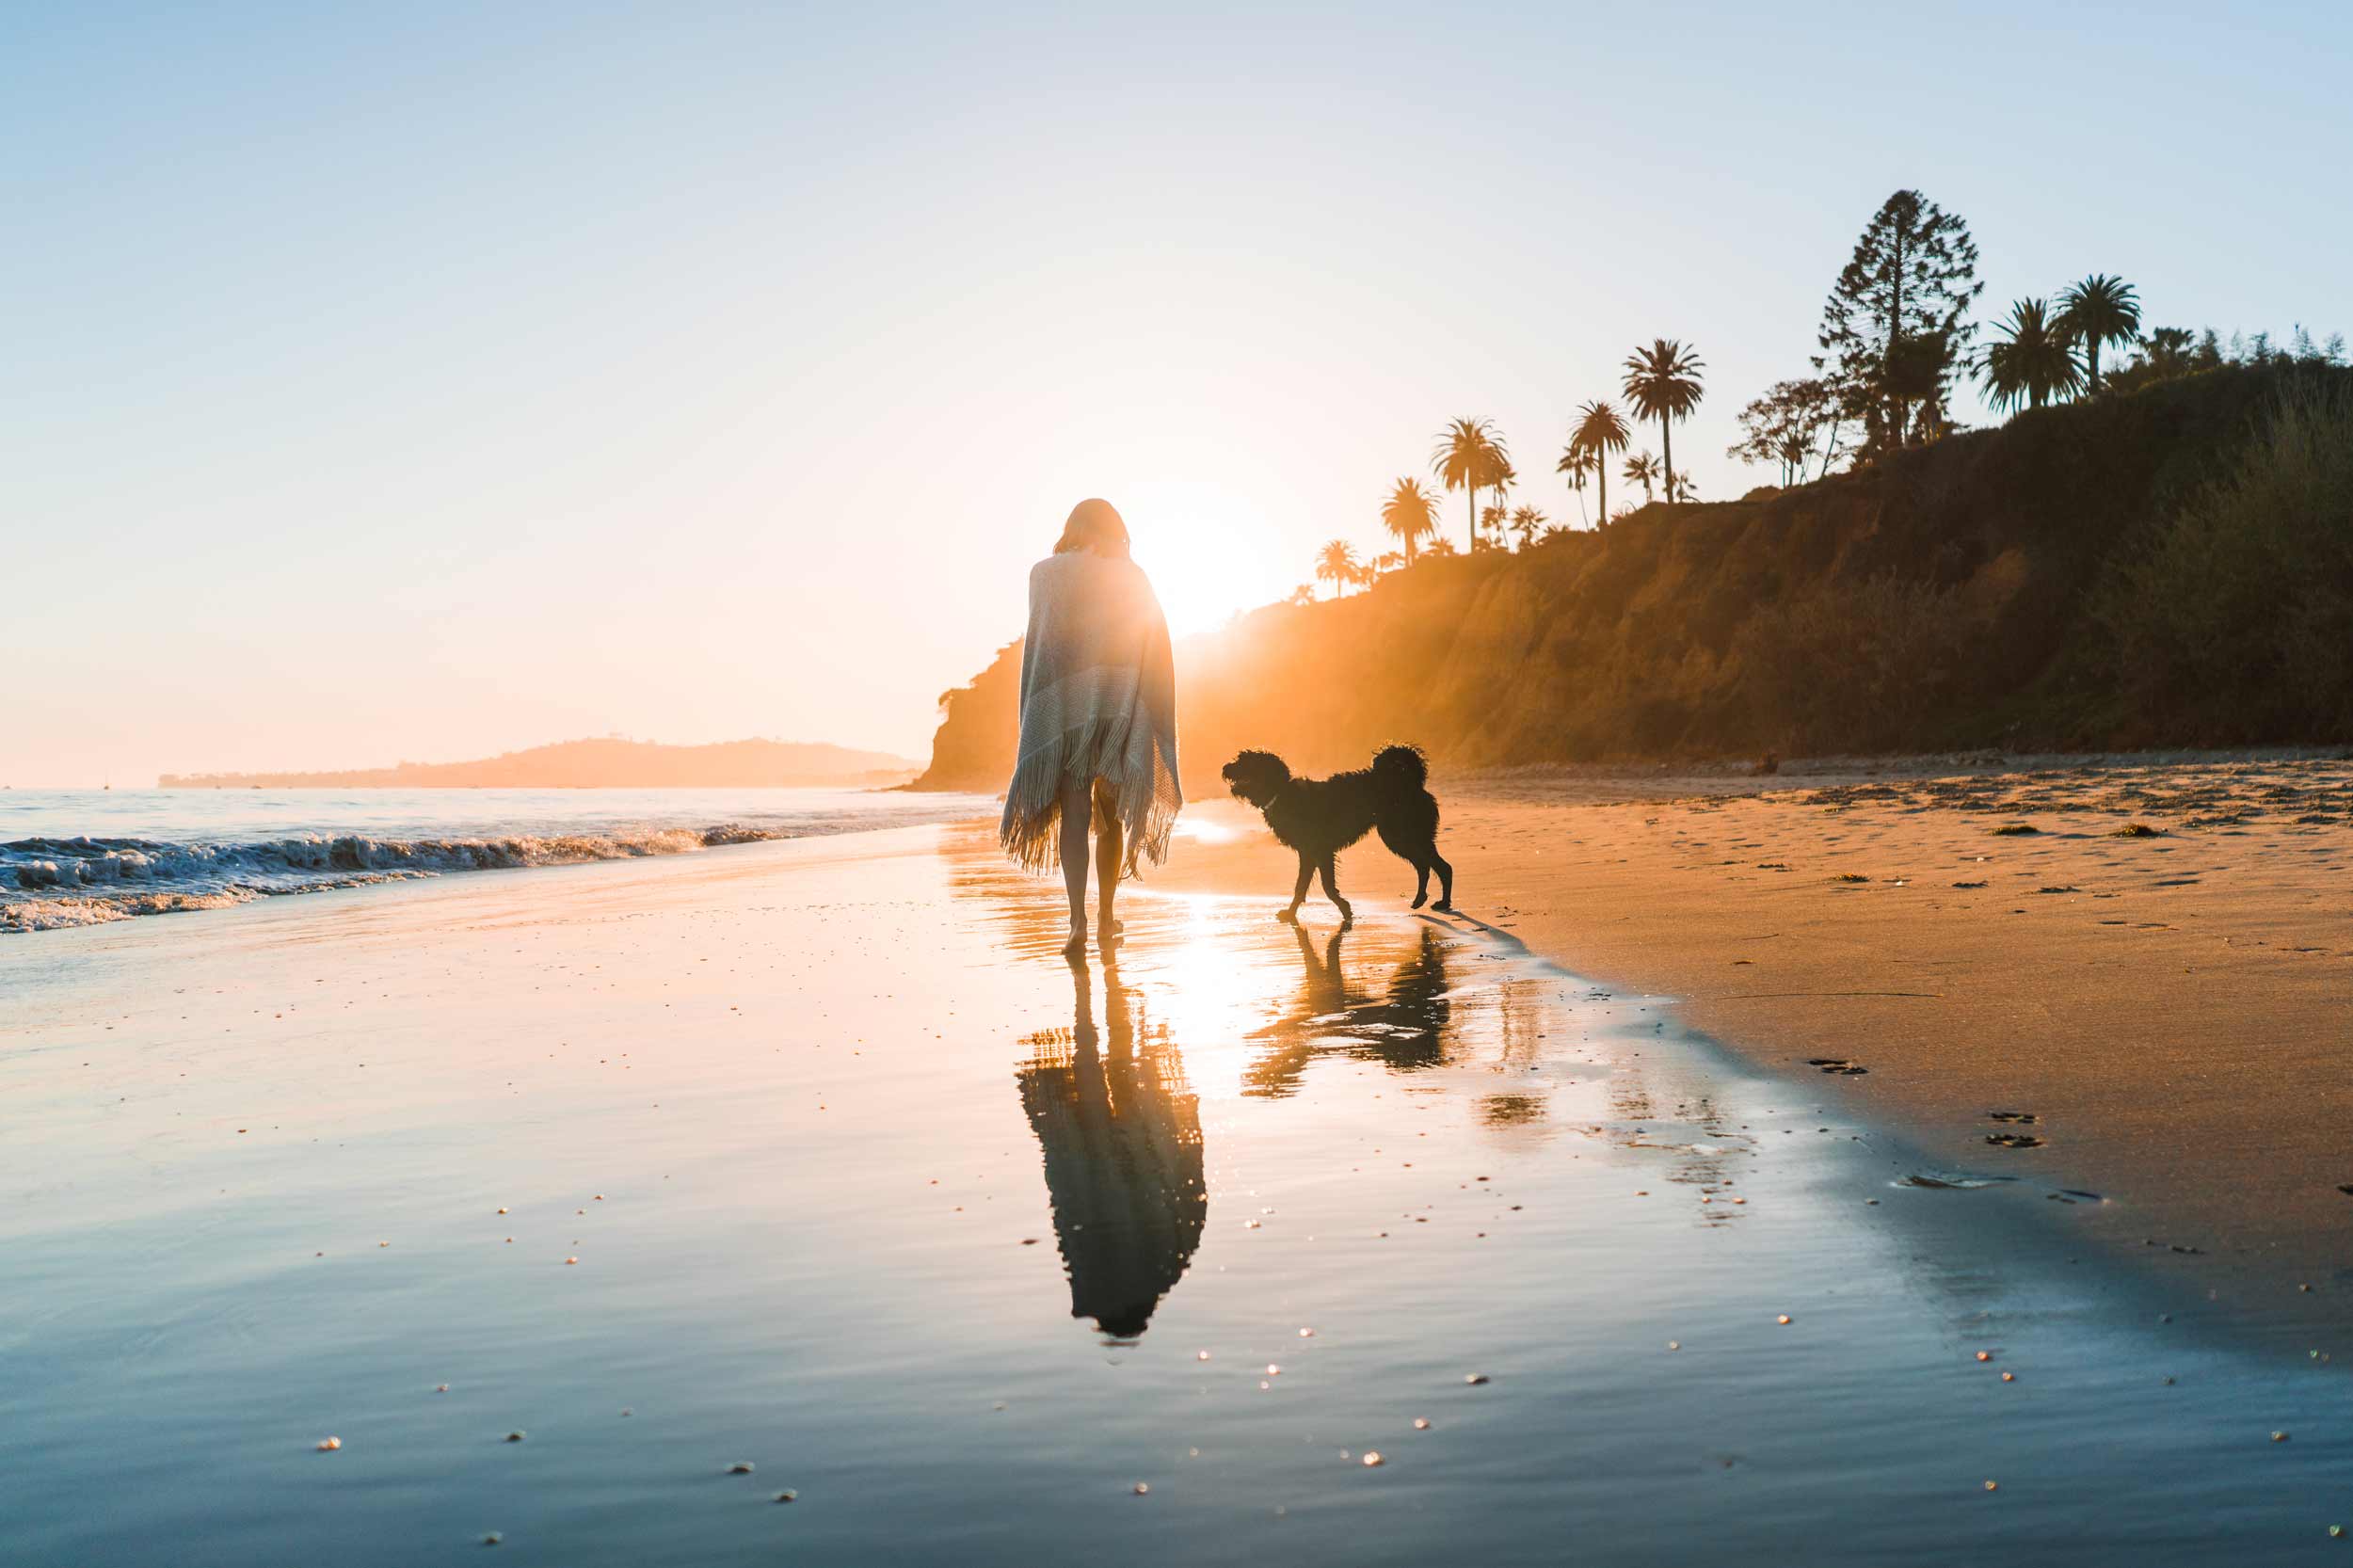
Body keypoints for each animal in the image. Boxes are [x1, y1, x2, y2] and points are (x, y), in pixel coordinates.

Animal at [1214, 744, 1449, 922]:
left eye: (1246, 762)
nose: (1225, 767)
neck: (1281, 793)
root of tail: (1411, 782)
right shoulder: (1308, 854)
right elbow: (1300, 887)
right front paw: (1291, 913)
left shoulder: (1321, 851)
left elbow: (1327, 887)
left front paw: (1345, 909)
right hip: (1403, 836)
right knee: (1426, 866)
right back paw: (1422, 900)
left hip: (1401, 835)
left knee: (1439, 866)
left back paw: (1443, 902)